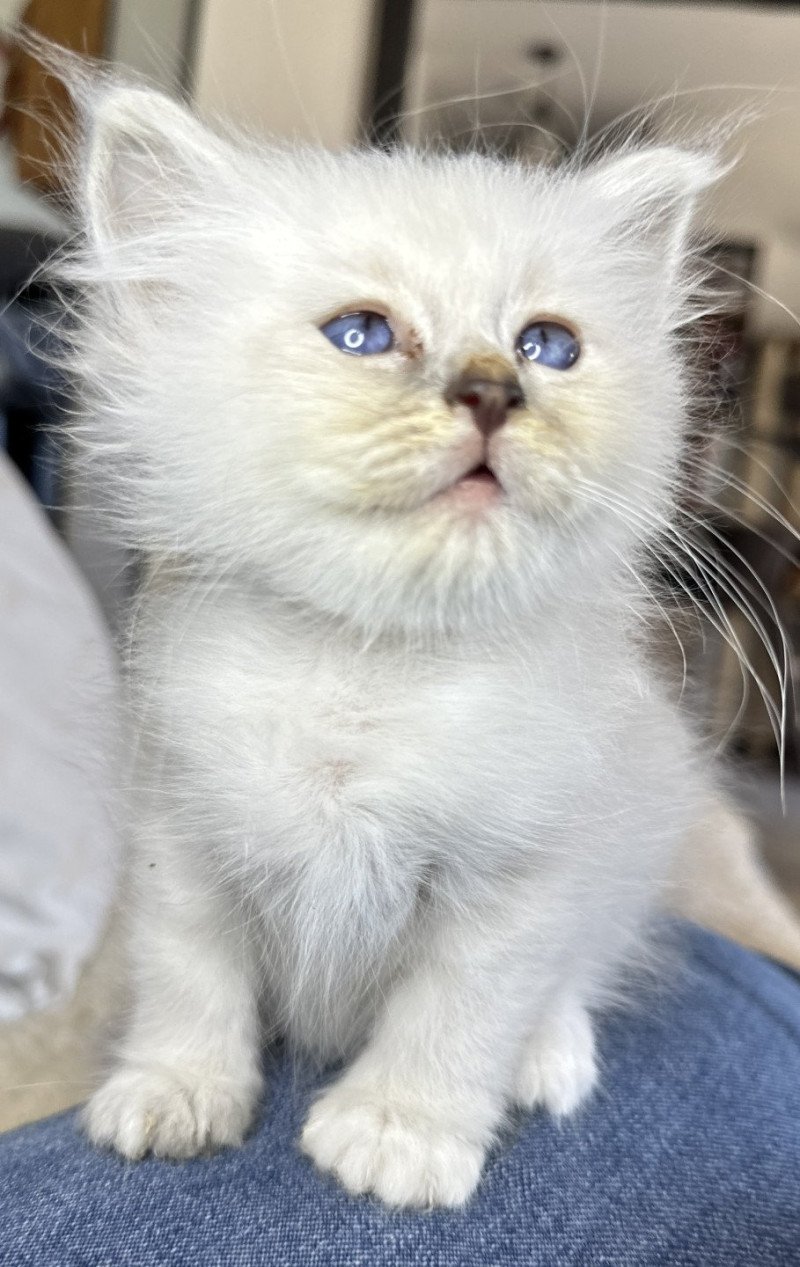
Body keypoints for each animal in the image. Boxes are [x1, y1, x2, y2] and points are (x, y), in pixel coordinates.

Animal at [68, 76, 720, 1206]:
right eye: (363, 334)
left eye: (548, 347)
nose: (495, 390)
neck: (370, 669)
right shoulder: (181, 837)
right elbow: (188, 975)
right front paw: (175, 1092)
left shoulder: (520, 876)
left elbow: (458, 1013)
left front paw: (397, 1137)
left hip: (640, 826)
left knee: (582, 970)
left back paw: (551, 1058)